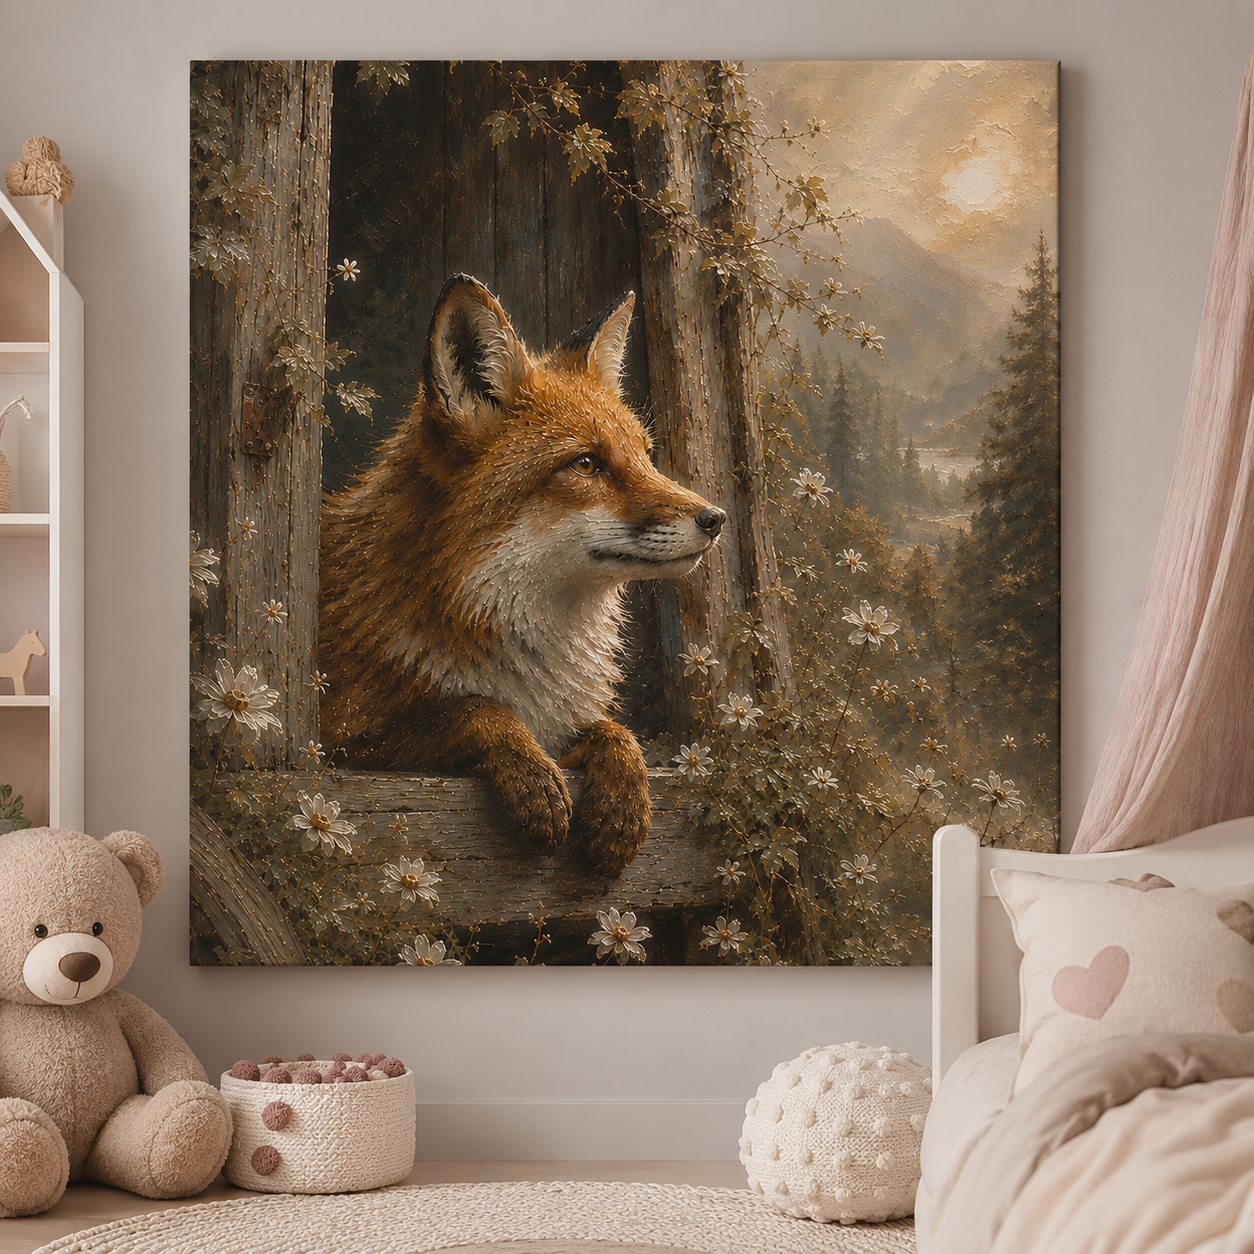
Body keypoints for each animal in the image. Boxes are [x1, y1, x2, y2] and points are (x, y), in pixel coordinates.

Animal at [319, 275, 725, 875]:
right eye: (587, 464)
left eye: (646, 456)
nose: (716, 519)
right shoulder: (344, 743)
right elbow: (473, 709)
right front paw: (531, 778)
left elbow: (613, 731)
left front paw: (622, 803)